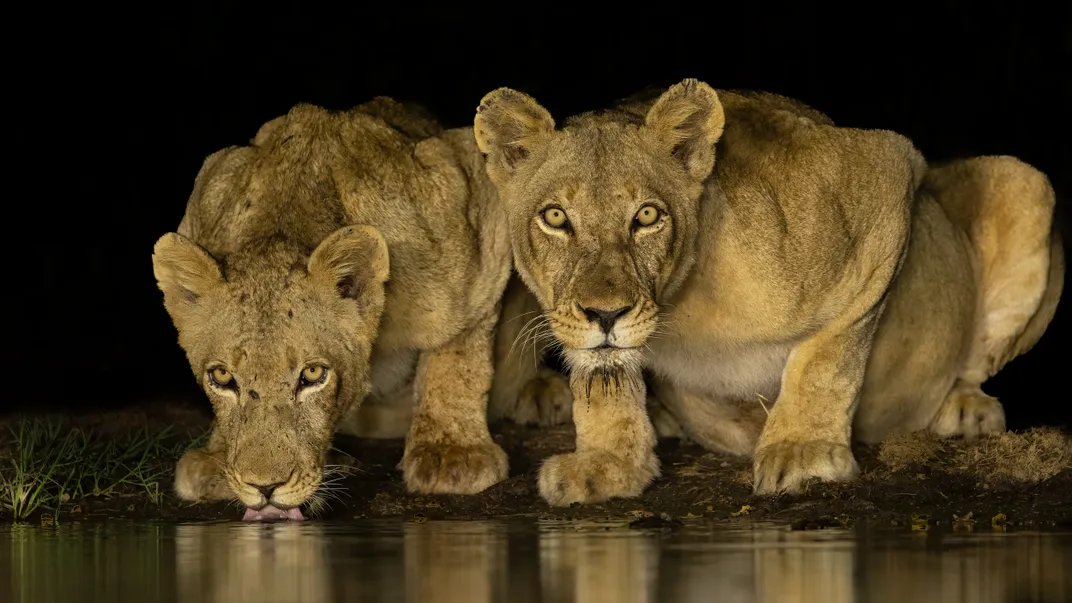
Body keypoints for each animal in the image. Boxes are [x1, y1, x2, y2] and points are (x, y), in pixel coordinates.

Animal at [153, 98, 515, 518]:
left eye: (312, 374)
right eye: (222, 377)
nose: (265, 487)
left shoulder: (475, 200)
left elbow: (458, 356)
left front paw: (453, 455)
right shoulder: (212, 183)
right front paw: (216, 461)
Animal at [474, 79, 1063, 505]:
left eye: (647, 216)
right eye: (555, 217)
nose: (605, 314)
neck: (682, 304)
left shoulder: (886, 174)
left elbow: (827, 360)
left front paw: (802, 450)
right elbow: (605, 383)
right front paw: (612, 465)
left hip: (1024, 182)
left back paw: (964, 410)